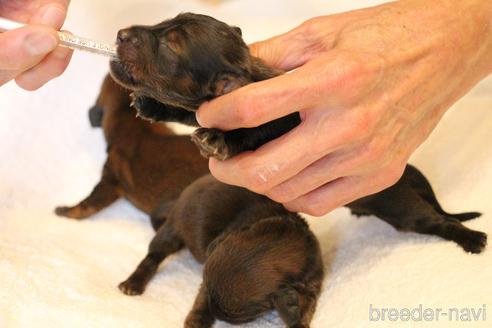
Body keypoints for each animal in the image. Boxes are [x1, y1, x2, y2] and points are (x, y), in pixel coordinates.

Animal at [109, 12, 486, 254]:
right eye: (164, 23)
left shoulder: (267, 121)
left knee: (433, 220)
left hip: (399, 205)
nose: (121, 34)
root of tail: (406, 173)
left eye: (171, 46)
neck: (248, 73)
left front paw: (217, 141)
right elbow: (191, 112)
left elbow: (244, 134)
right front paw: (154, 107)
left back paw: (471, 239)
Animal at [118, 174, 322, 328]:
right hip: (172, 230)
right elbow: (201, 297)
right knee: (152, 257)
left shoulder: (312, 283)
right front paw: (197, 320)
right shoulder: (207, 276)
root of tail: (180, 198)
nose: (215, 314)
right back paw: (133, 283)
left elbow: (306, 309)